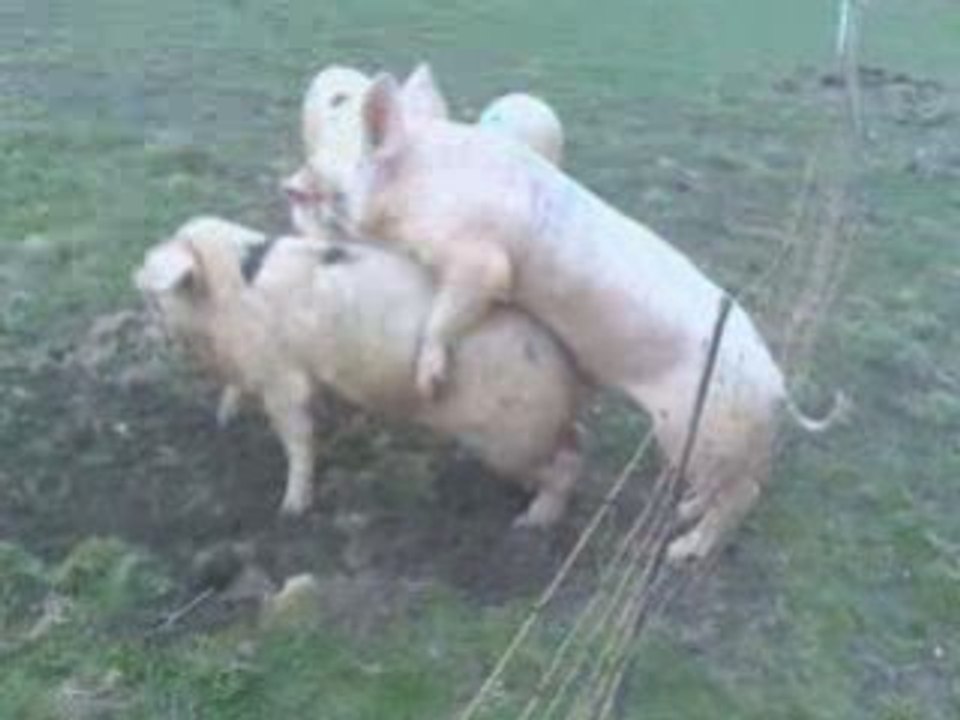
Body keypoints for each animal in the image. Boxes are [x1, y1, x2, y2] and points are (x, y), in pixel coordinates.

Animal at [133, 216, 583, 526]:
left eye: (157, 297)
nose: (148, 334)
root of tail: (563, 365)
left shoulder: (282, 378)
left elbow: (297, 439)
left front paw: (290, 510)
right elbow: (239, 392)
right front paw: (222, 422)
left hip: (511, 437)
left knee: (565, 470)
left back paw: (530, 523)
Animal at [330, 65, 848, 561]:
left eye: (345, 179)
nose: (322, 205)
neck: (421, 183)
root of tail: (777, 388)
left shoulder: (481, 259)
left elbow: (455, 305)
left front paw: (428, 381)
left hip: (700, 432)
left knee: (742, 495)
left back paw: (681, 552)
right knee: (728, 489)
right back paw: (685, 510)